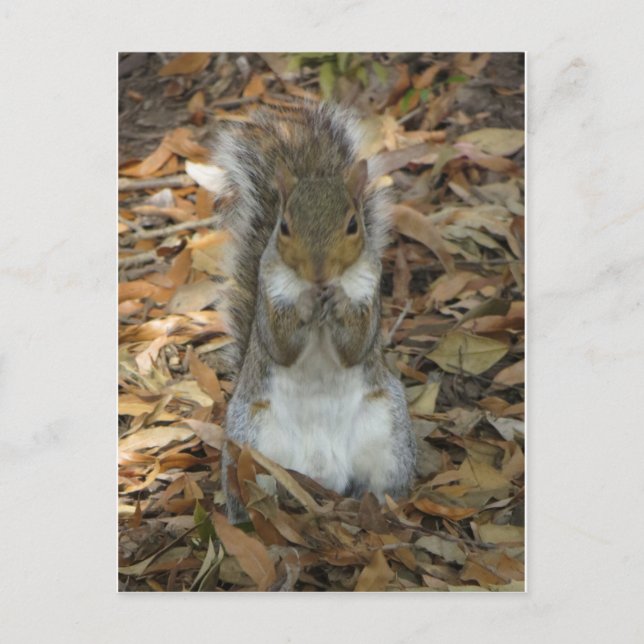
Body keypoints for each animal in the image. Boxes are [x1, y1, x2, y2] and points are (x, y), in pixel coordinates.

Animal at [187, 102, 416, 522]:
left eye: (353, 224)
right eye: (284, 226)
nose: (320, 274)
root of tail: (323, 474)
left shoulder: (369, 289)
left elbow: (356, 346)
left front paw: (336, 300)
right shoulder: (271, 294)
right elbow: (281, 346)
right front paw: (307, 303)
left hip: (388, 434)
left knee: (382, 485)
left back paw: (381, 507)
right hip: (251, 444)